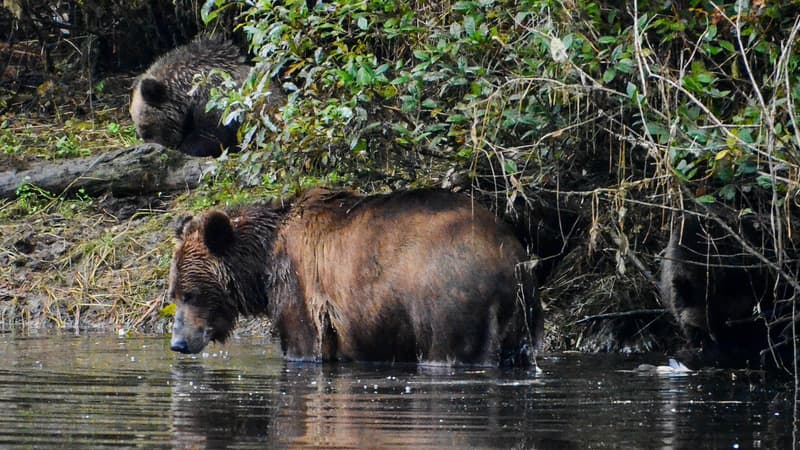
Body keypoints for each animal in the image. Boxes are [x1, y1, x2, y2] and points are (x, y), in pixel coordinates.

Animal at [167, 188, 544, 368]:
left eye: (190, 293)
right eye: (174, 294)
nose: (179, 343)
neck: (262, 264)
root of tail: (510, 258)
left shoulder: (299, 288)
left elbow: (302, 344)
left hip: (448, 299)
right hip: (524, 318)